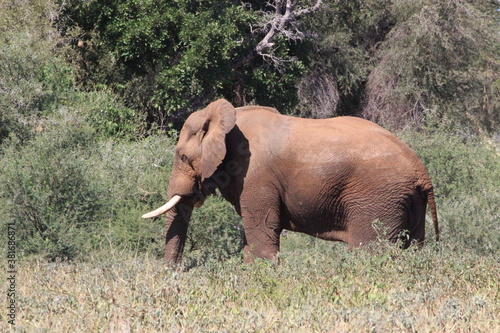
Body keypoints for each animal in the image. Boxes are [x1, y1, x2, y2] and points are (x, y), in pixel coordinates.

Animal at [142, 98, 438, 264]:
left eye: (182, 156)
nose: (174, 274)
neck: (229, 117)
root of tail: (421, 170)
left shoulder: (255, 176)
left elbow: (262, 230)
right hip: (405, 200)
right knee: (414, 248)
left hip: (378, 198)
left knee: (371, 251)